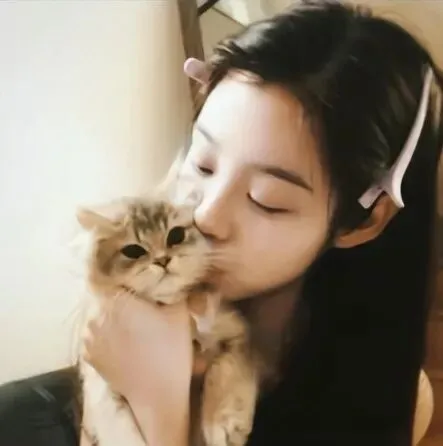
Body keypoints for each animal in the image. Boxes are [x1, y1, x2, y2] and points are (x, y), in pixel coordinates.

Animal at [76, 195, 260, 446]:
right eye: (133, 250)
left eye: (176, 235)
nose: (163, 260)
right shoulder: (99, 383)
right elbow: (117, 422)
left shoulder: (235, 334)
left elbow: (225, 372)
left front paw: (223, 423)